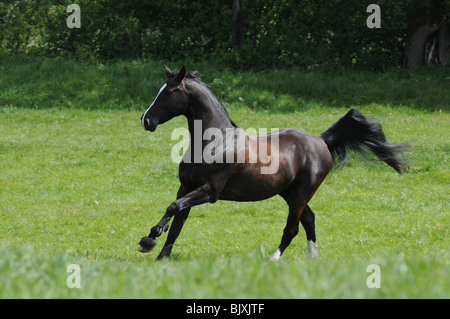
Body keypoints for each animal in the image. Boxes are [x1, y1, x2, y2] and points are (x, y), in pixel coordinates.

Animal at [137, 66, 408, 262]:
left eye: (169, 92)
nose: (145, 120)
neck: (215, 141)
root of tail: (321, 139)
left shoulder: (209, 191)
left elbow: (173, 208)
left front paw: (148, 239)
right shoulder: (186, 187)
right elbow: (177, 221)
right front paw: (160, 255)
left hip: (300, 194)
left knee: (292, 228)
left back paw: (273, 260)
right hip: (289, 193)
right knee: (309, 219)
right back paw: (312, 259)